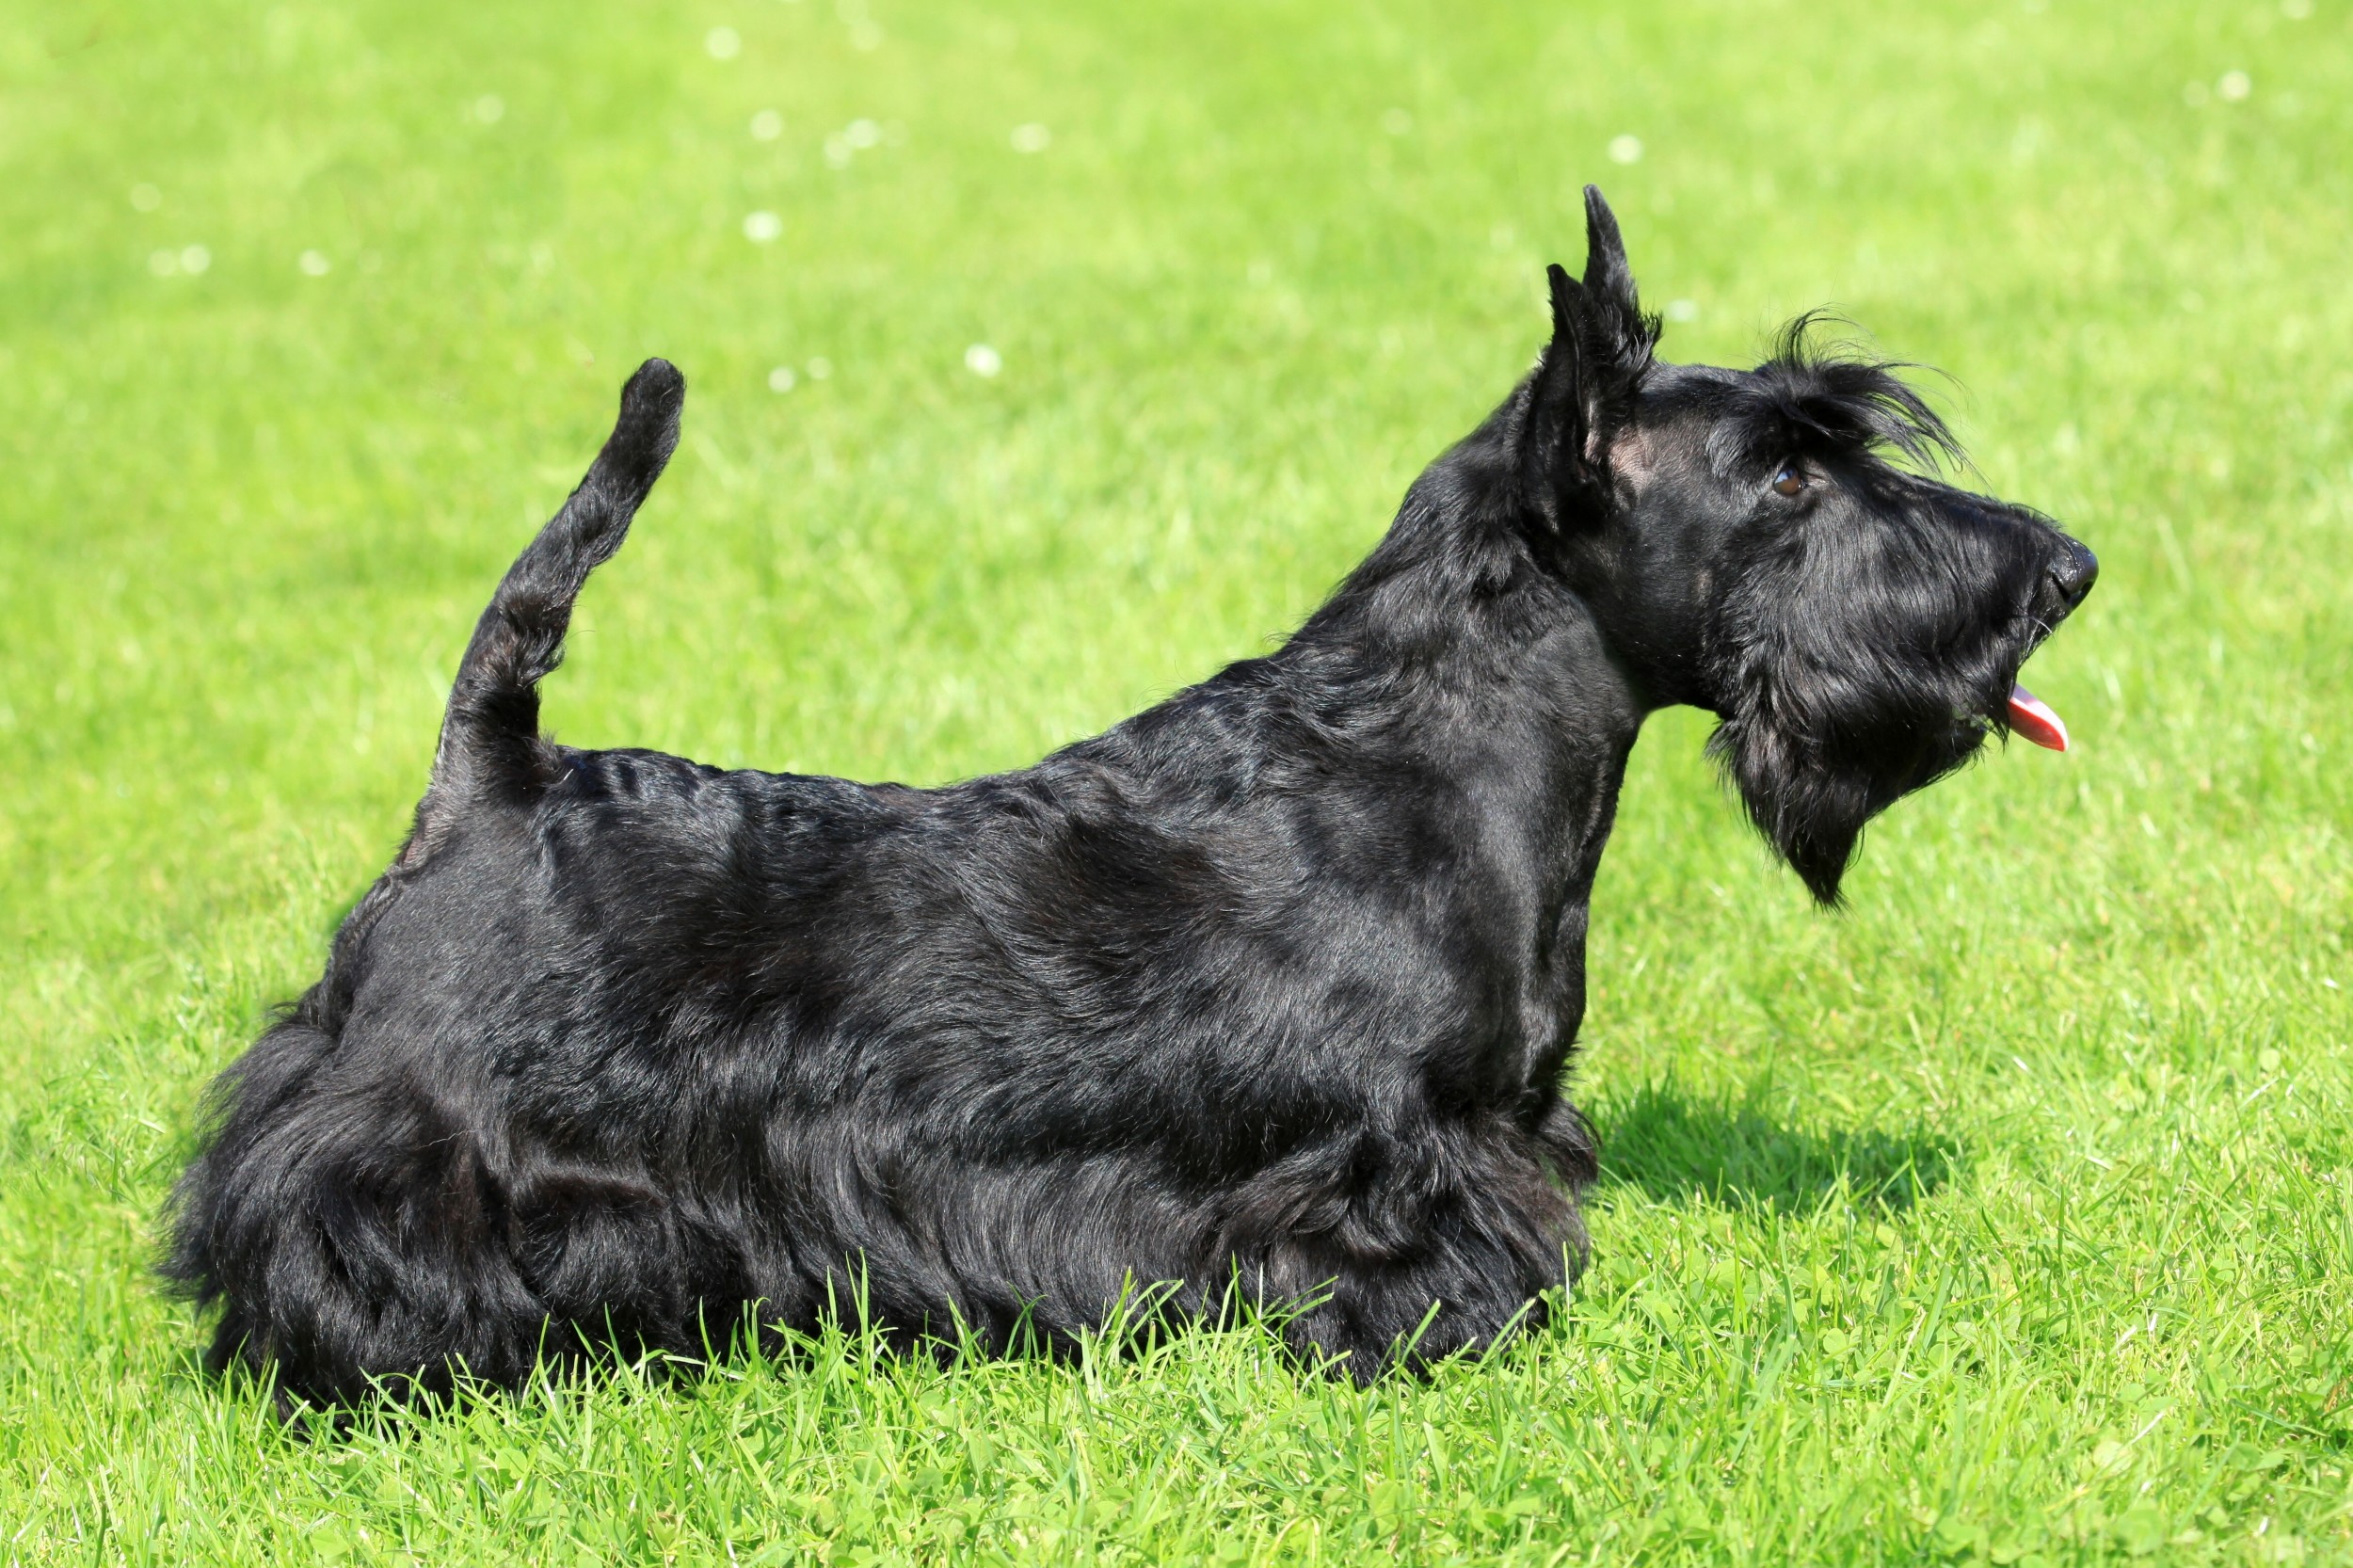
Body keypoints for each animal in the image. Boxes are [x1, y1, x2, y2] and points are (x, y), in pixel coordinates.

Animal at [166, 189, 2099, 1393]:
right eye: (1786, 473)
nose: (2061, 569)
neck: (1429, 759)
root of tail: (493, 772)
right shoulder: (1382, 1151)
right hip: (426, 1137)